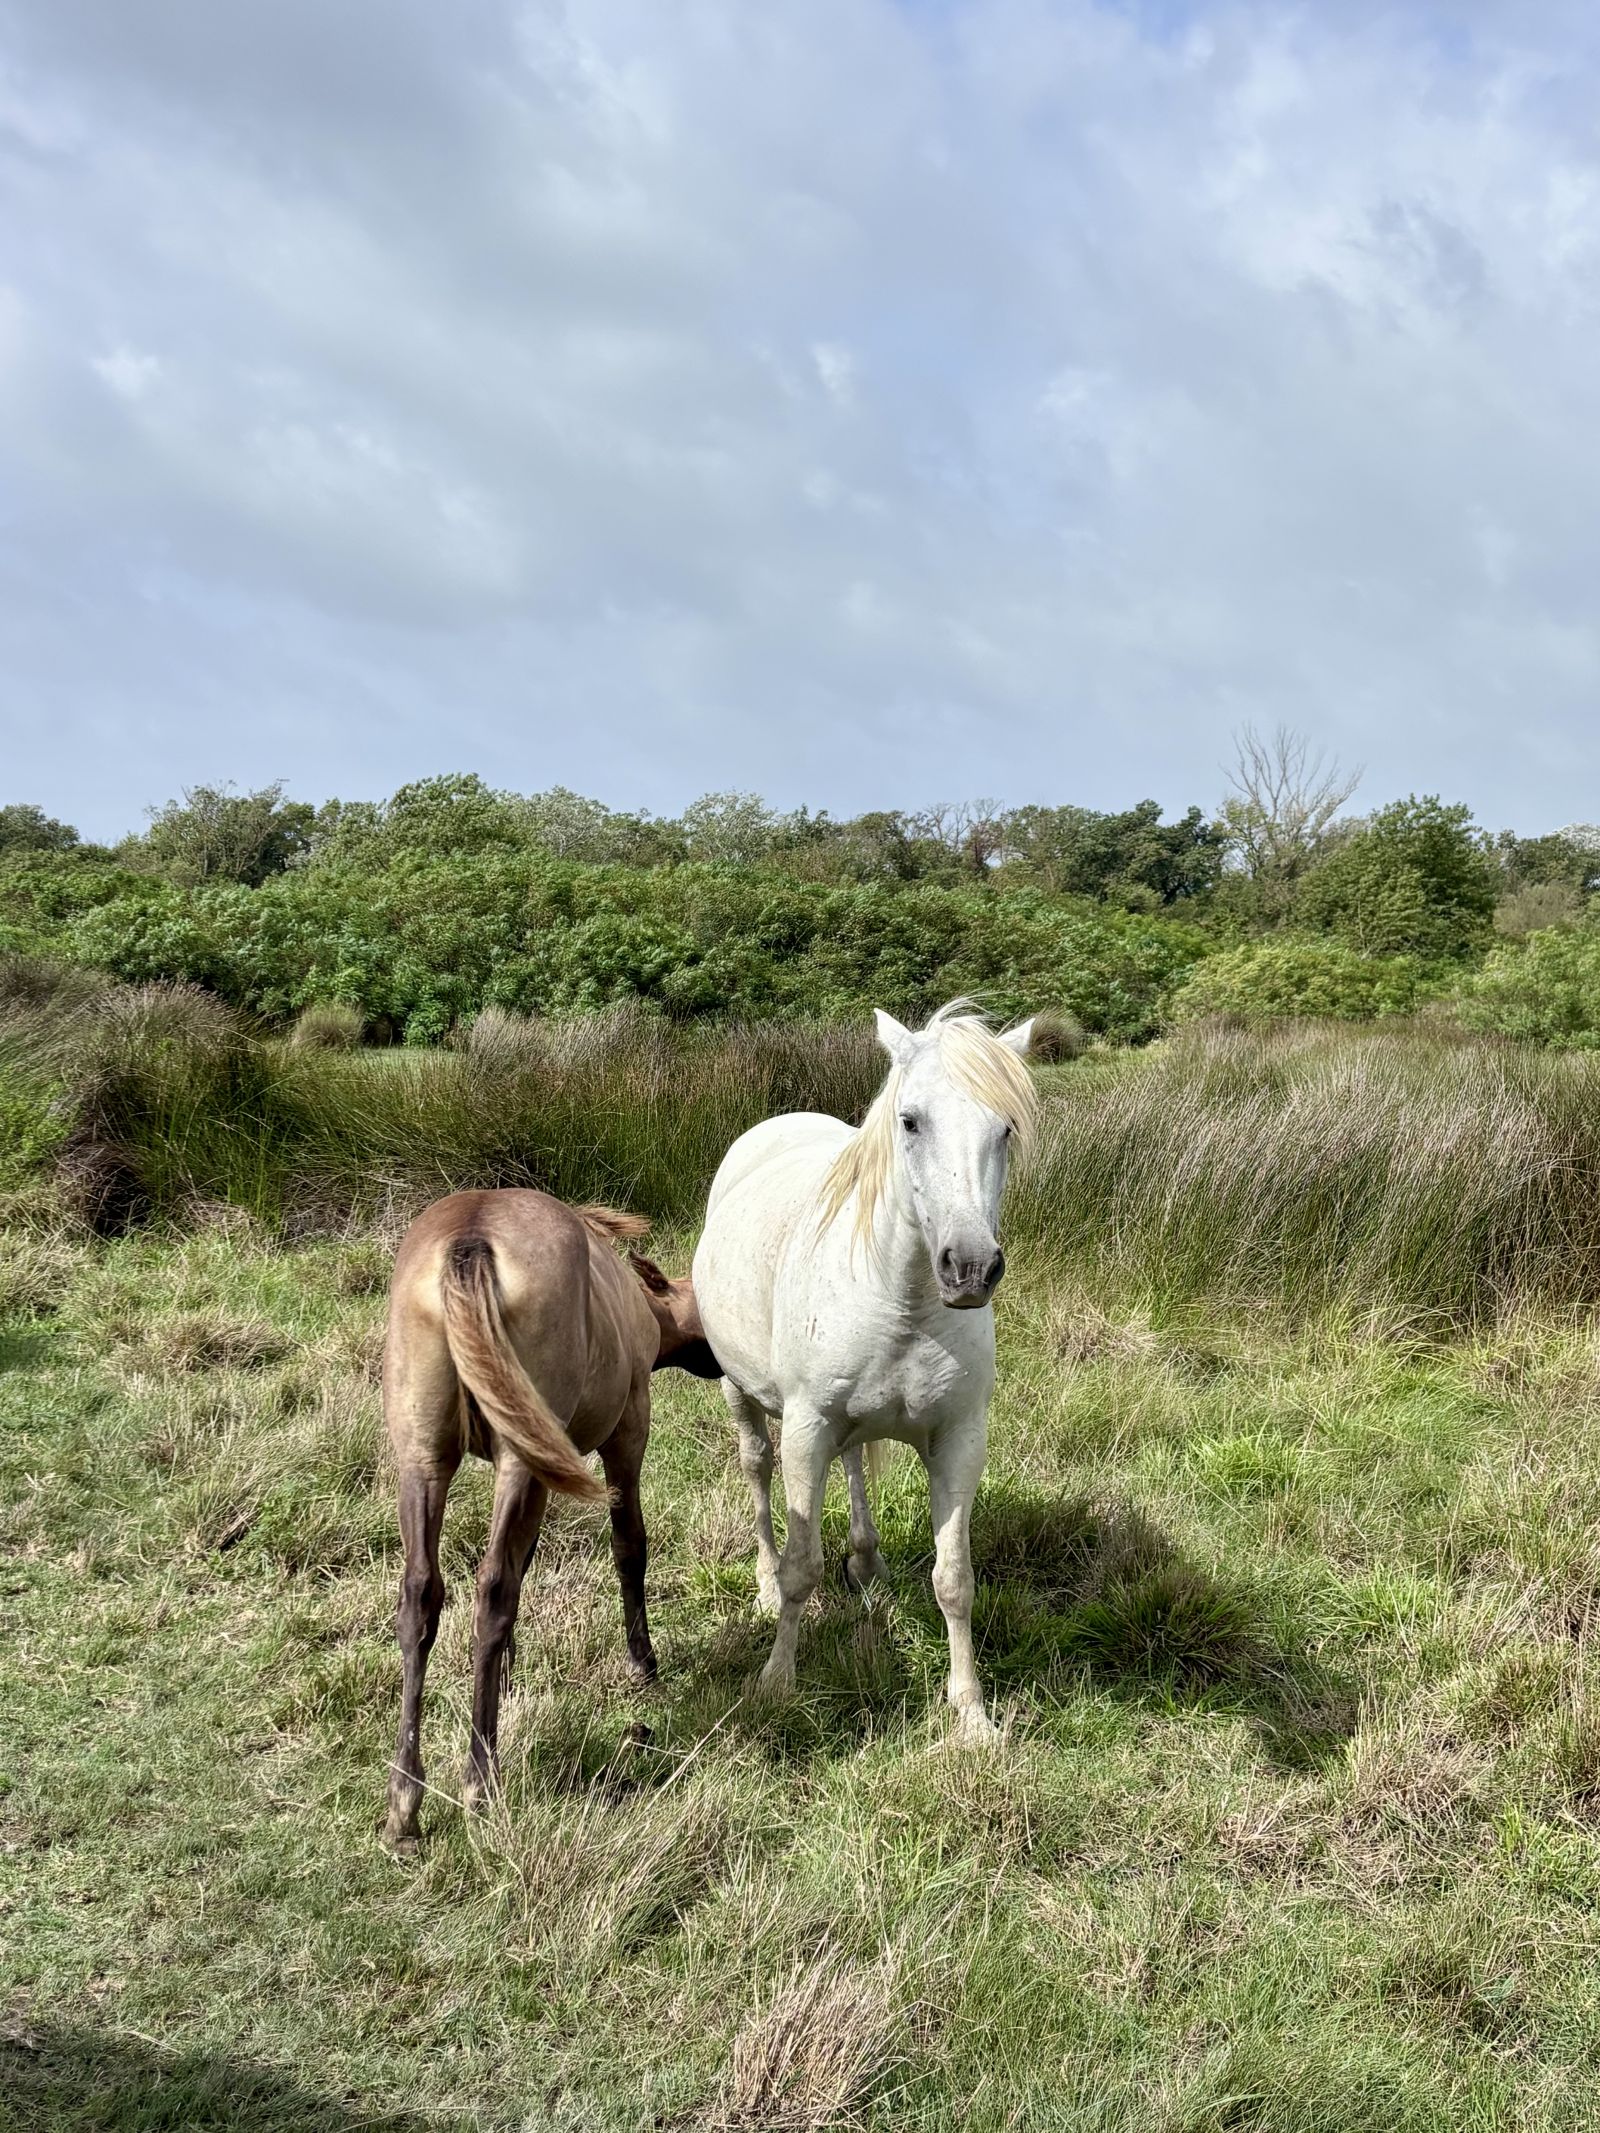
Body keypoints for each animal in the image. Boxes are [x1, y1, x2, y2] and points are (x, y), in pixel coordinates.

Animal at [380, 1189, 720, 1850]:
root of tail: (469, 1244)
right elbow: (628, 1545)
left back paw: (406, 1796)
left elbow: (525, 1557)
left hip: (424, 1455)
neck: (636, 1307)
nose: (726, 1364)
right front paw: (642, 1660)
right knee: (491, 1587)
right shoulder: (625, 1429)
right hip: (519, 1457)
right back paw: (478, 1780)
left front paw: (507, 1670)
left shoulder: (536, 1463)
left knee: (423, 1594)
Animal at [691, 1001, 1037, 1743]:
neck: (902, 1298)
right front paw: (777, 1683)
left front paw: (972, 1713)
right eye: (910, 1120)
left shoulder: (961, 1439)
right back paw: (764, 1582)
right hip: (742, 1395)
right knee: (756, 1468)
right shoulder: (805, 1430)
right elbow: (803, 1569)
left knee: (852, 1463)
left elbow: (954, 1579)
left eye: (1005, 1128)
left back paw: (869, 1564)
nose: (970, 1267)